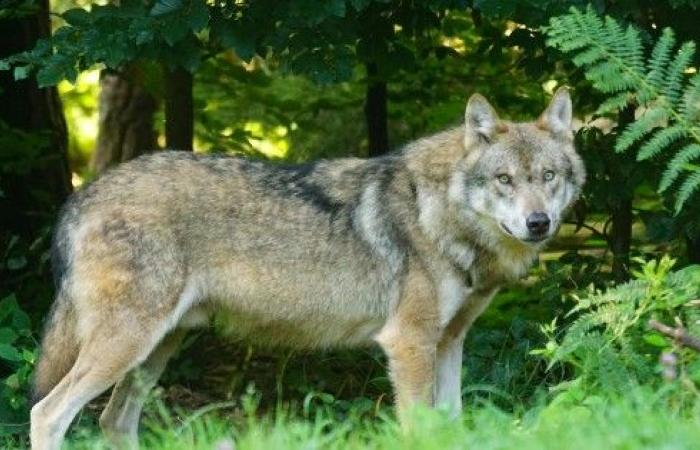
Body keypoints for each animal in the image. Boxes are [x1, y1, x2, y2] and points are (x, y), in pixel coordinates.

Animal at [28, 88, 584, 450]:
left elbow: (451, 425)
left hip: (155, 350)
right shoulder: (408, 343)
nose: (538, 222)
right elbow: (419, 429)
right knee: (46, 413)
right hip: (127, 345)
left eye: (547, 176)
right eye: (504, 179)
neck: (440, 212)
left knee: (114, 423)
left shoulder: (449, 342)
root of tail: (82, 195)